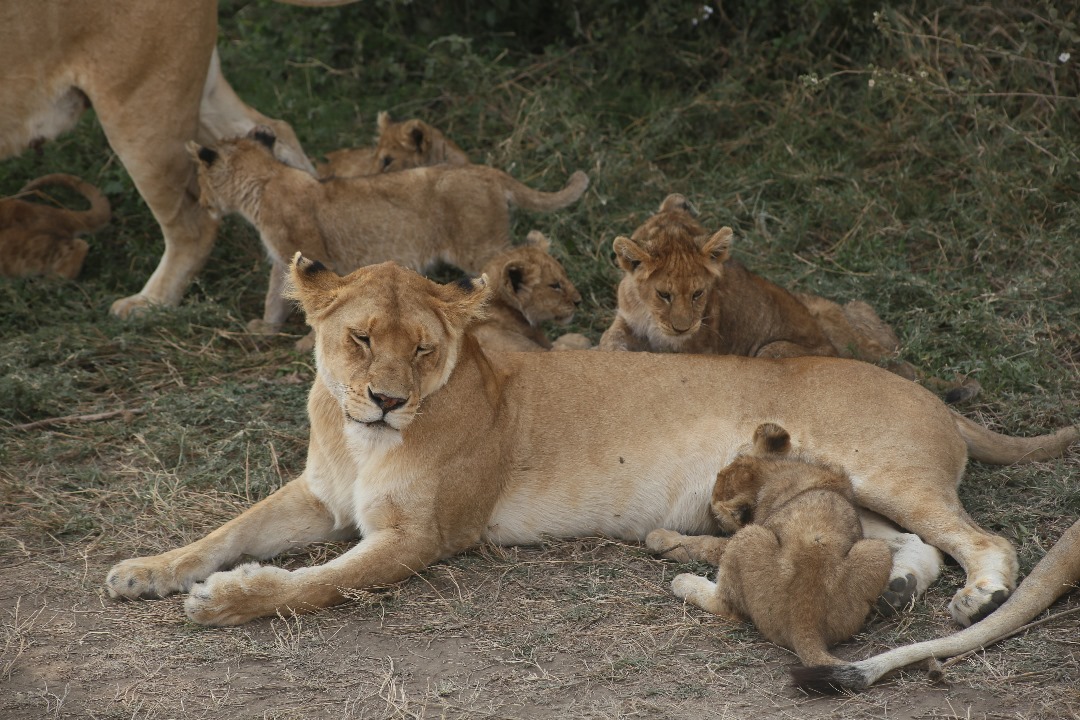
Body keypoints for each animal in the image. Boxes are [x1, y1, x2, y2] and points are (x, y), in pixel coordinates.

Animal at [103, 255, 1077, 628]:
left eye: (421, 349)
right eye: (360, 339)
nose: (384, 400)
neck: (354, 439)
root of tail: (930, 394)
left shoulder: (424, 536)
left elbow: (317, 584)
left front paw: (226, 601)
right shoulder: (317, 495)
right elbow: (222, 531)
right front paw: (145, 571)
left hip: (885, 473)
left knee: (983, 538)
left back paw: (979, 599)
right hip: (829, 495)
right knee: (913, 547)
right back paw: (909, 587)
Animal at [188, 127, 589, 331]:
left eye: (200, 177)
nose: (200, 202)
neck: (265, 180)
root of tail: (486, 171)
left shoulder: (307, 249)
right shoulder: (282, 258)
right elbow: (274, 295)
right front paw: (267, 328)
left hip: (479, 245)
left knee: (514, 265)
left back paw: (554, 309)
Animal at [598, 194, 980, 403]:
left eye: (698, 293)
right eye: (663, 294)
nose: (681, 327)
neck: (650, 314)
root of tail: (840, 351)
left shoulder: (701, 349)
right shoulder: (626, 317)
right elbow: (610, 337)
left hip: (774, 349)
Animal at [647, 423, 893, 669]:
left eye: (717, 516)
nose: (710, 516)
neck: (773, 473)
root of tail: (804, 620)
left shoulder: (742, 531)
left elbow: (704, 543)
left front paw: (659, 537)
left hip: (749, 536)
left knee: (726, 605)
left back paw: (683, 581)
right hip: (878, 551)